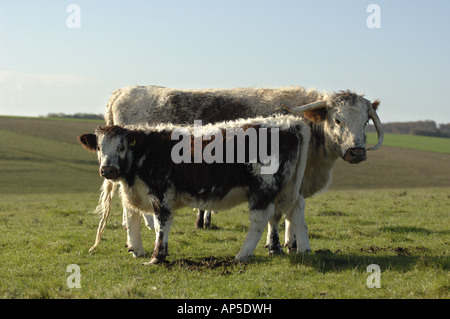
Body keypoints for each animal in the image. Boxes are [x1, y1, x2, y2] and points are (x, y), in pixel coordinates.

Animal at [80, 116, 310, 264]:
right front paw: (136, 250)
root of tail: (288, 123)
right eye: (99, 148)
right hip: (286, 188)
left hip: (263, 187)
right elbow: (131, 219)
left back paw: (243, 255)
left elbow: (161, 224)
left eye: (121, 147)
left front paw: (157, 256)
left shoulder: (161, 194)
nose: (107, 169)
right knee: (296, 209)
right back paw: (302, 249)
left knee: (260, 219)